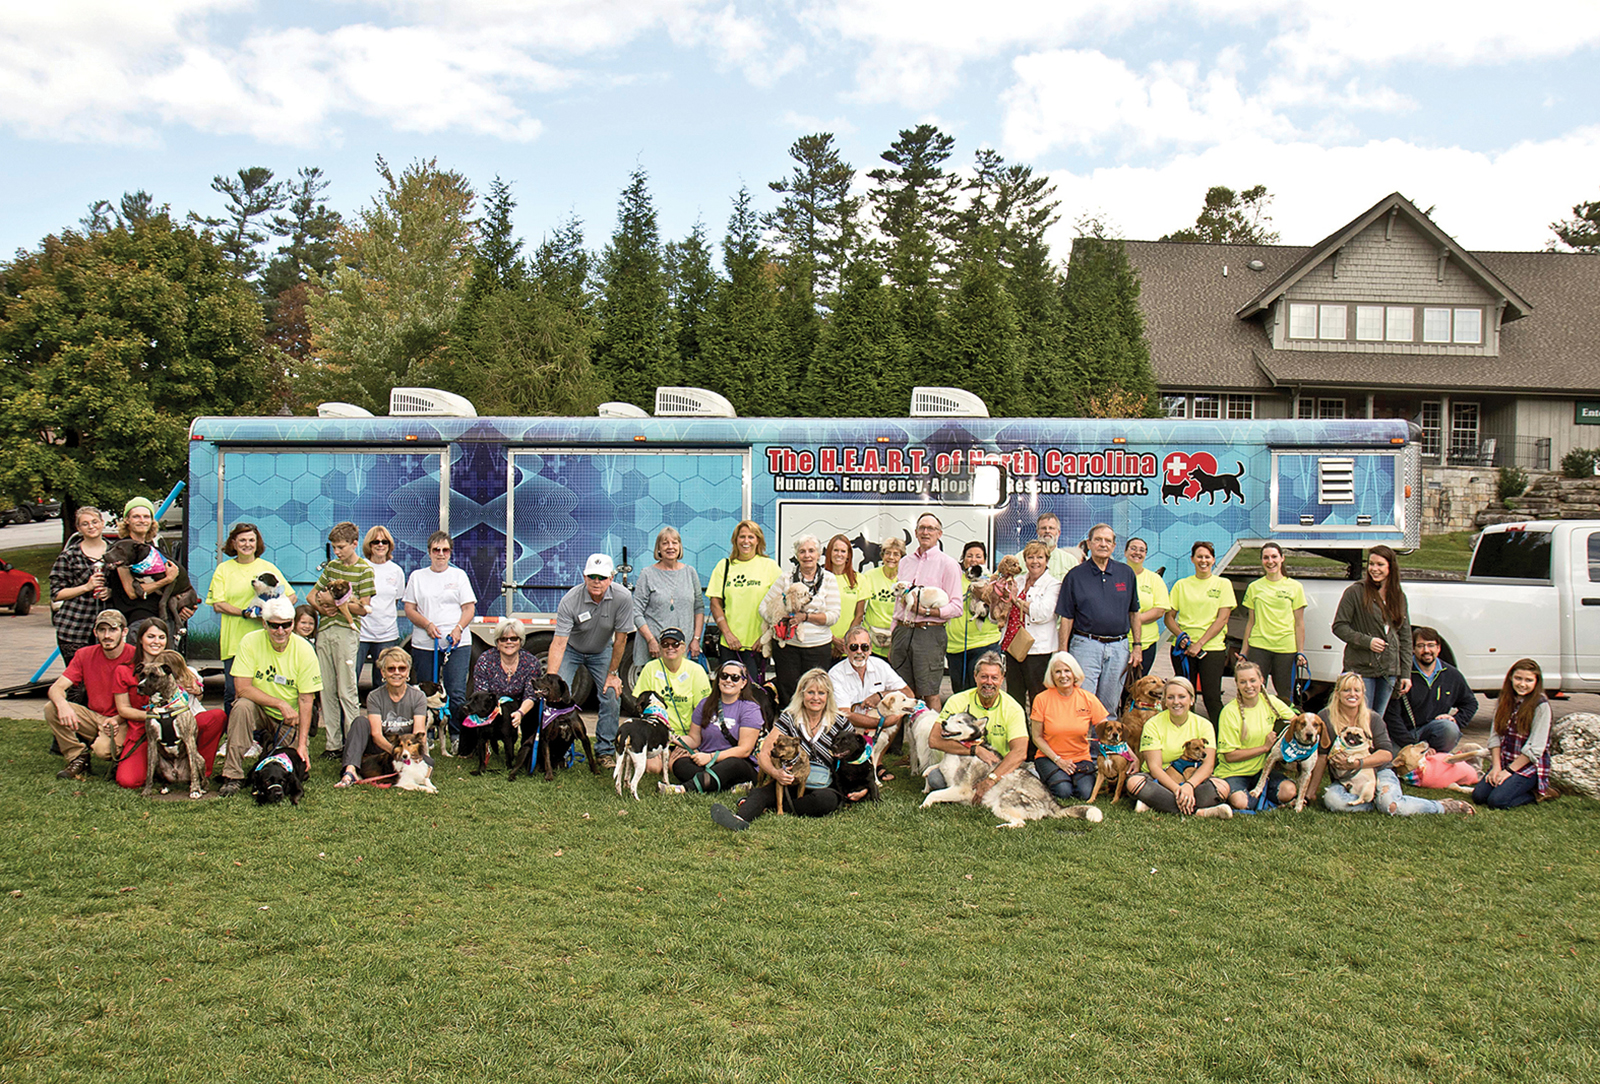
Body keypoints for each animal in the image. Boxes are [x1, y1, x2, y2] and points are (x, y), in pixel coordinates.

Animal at [928, 716, 1100, 824]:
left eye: (959, 721)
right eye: (950, 717)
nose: (943, 722)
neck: (966, 746)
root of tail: (1052, 801)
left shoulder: (959, 789)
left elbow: (932, 794)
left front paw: (924, 806)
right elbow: (935, 768)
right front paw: (927, 772)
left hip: (1004, 800)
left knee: (1020, 823)